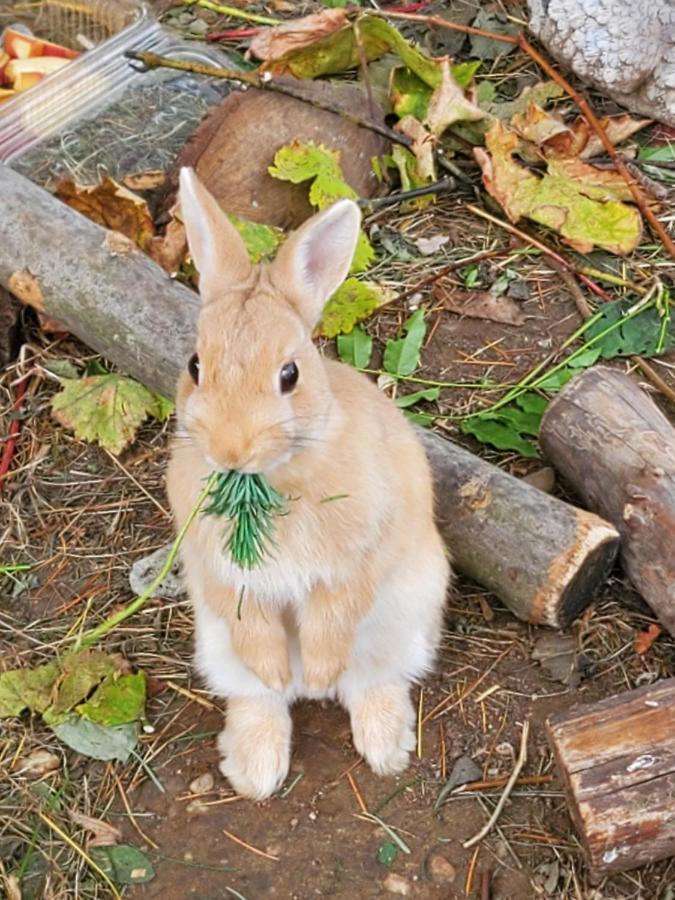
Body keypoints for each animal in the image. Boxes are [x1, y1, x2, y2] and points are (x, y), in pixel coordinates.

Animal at [168, 165, 454, 800]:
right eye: (196, 366)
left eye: (290, 374)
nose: (230, 449)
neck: (272, 481)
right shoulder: (222, 575)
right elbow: (254, 628)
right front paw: (279, 670)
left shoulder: (358, 560)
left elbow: (334, 613)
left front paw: (320, 672)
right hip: (216, 644)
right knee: (259, 698)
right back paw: (257, 767)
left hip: (404, 617)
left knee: (373, 681)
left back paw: (380, 744)